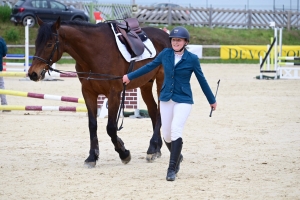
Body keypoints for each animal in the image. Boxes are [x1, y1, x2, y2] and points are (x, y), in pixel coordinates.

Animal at [27, 16, 171, 167]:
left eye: (49, 44)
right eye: (36, 43)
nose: (33, 74)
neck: (95, 52)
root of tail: (167, 36)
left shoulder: (114, 94)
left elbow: (111, 127)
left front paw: (124, 153)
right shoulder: (88, 92)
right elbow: (92, 125)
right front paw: (92, 156)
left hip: (161, 81)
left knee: (160, 112)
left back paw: (152, 148)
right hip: (146, 84)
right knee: (153, 110)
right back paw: (156, 149)